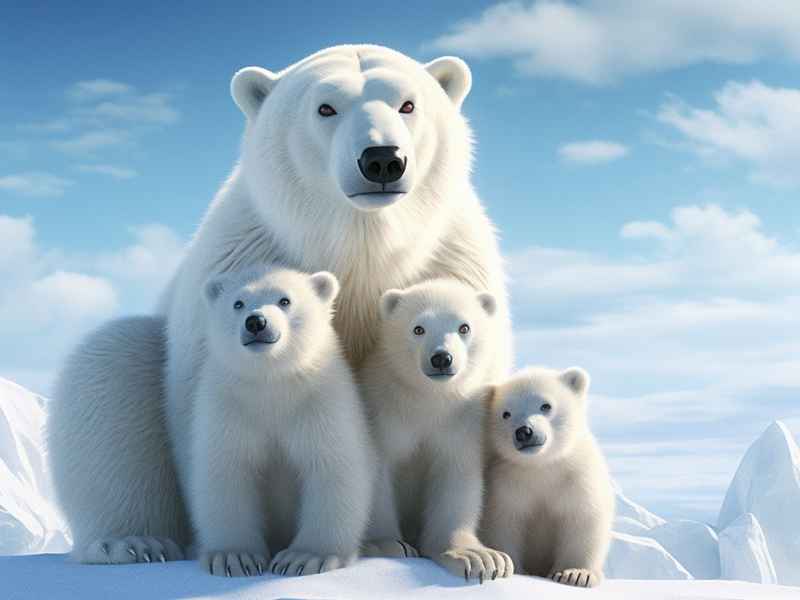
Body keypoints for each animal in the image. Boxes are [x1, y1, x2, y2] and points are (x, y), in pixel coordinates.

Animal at [189, 267, 373, 576]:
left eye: (284, 300)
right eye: (238, 303)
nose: (256, 321)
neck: (271, 386)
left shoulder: (318, 405)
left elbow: (332, 468)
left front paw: (305, 558)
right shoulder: (230, 409)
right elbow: (226, 471)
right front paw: (234, 557)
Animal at [360, 279, 513, 582]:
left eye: (464, 327)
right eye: (418, 328)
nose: (442, 358)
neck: (428, 400)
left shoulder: (460, 422)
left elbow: (455, 476)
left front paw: (479, 558)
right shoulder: (383, 411)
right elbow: (377, 471)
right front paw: (387, 544)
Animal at [479, 367, 614, 587]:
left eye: (546, 405)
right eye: (506, 413)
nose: (524, 431)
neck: (541, 465)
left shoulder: (577, 479)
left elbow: (583, 519)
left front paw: (576, 574)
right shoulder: (507, 485)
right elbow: (503, 523)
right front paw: (516, 570)